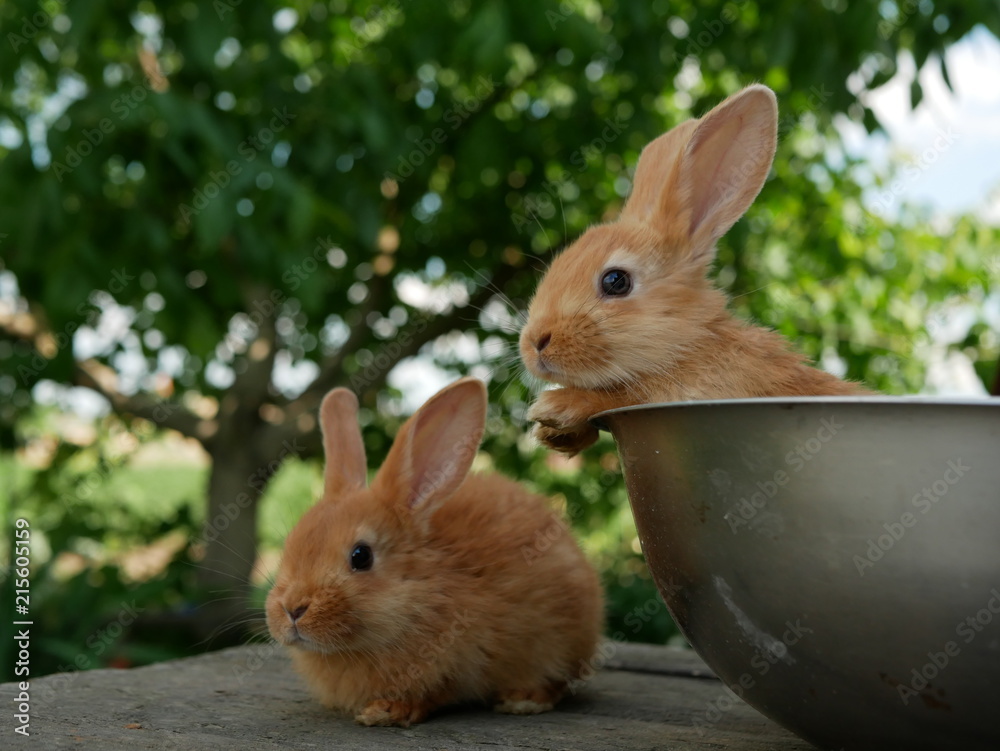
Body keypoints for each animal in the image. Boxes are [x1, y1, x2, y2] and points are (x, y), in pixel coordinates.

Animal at [265, 377, 604, 727]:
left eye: (361, 556)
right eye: (290, 545)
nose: (292, 609)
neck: (419, 591)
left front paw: (386, 712)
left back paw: (522, 700)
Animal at [518, 84, 871, 455]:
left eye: (616, 281)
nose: (534, 344)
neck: (691, 343)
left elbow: (623, 394)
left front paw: (553, 408)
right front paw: (553, 433)